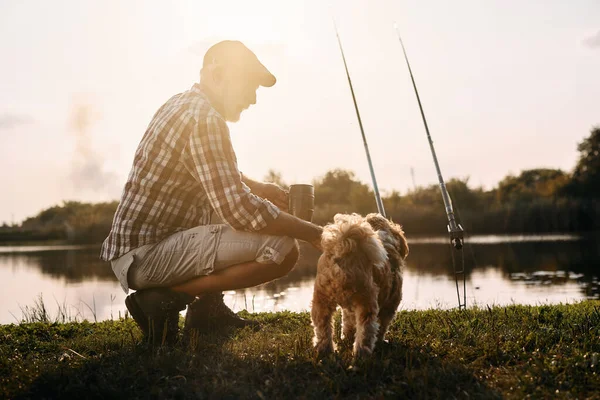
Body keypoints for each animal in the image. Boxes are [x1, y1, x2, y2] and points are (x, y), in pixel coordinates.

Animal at [310, 214, 408, 360]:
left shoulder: (349, 308)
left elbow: (348, 322)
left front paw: (347, 336)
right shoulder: (390, 304)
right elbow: (383, 325)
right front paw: (380, 340)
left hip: (321, 300)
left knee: (322, 328)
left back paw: (324, 351)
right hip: (367, 302)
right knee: (366, 331)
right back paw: (362, 355)